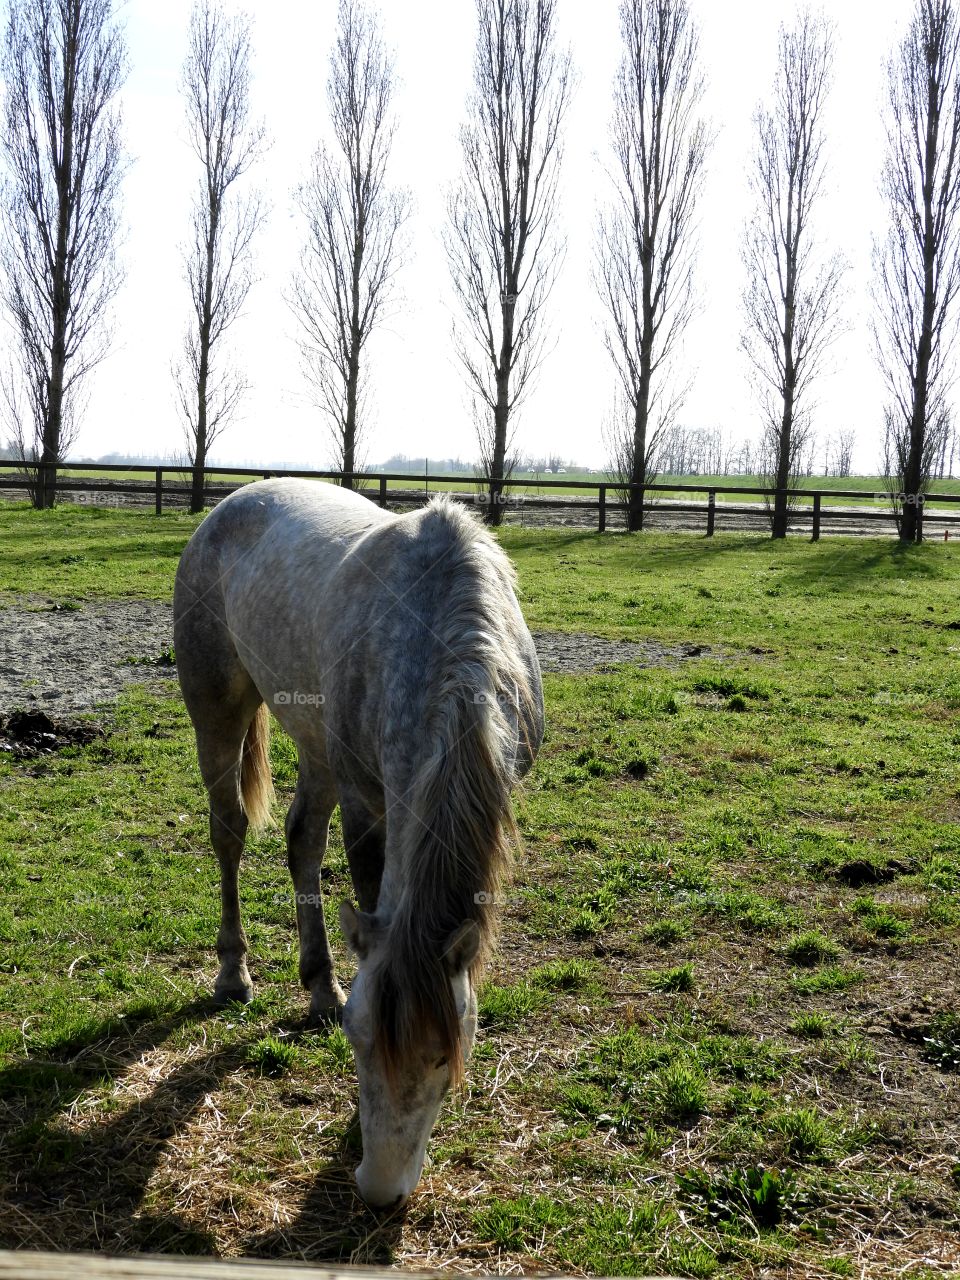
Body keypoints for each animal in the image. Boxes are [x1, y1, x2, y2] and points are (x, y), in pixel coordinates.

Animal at [172, 478, 544, 1209]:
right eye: (359, 1040)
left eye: (445, 1054)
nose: (380, 1190)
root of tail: (231, 503)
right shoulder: (367, 801)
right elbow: (371, 890)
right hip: (220, 712)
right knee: (229, 832)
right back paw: (234, 972)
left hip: (315, 742)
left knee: (301, 843)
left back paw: (319, 983)